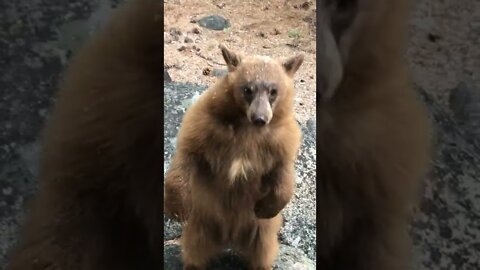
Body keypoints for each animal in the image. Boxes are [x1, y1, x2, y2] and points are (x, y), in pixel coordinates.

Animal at [164, 44, 304, 270]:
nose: (260, 119)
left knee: (263, 248)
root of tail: (230, 236)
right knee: (194, 245)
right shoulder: (205, 122)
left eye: (273, 91)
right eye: (247, 89)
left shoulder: (280, 139)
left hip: (260, 230)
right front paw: (177, 208)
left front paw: (266, 207)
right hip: (203, 220)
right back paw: (192, 264)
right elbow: (187, 153)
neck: (246, 127)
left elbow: (283, 172)